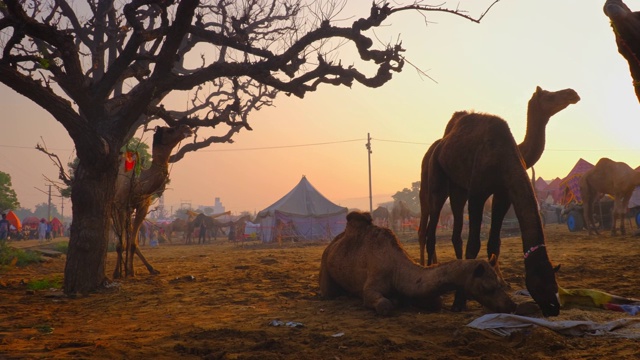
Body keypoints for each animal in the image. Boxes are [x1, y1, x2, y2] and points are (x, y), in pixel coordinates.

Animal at [112, 124, 192, 278]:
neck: (139, 181)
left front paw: (133, 271)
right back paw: (119, 271)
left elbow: (133, 243)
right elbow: (121, 243)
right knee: (119, 238)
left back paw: (142, 269)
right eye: (170, 130)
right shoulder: (120, 205)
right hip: (113, 207)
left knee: (130, 238)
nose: (188, 128)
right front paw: (118, 273)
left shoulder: (143, 207)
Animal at [318, 211, 516, 316]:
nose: (511, 306)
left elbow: (436, 302)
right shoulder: (371, 286)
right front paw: (392, 302)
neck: (397, 271)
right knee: (329, 292)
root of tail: (332, 243)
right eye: (487, 287)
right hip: (325, 264)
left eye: (501, 284)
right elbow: (384, 305)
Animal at [424, 112, 560, 316]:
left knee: (456, 230)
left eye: (555, 284)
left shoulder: (502, 192)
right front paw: (458, 302)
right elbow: (473, 244)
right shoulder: (477, 192)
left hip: (458, 188)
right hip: (437, 176)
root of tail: (441, 143)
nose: (554, 308)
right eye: (542, 286)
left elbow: (494, 241)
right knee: (431, 229)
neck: (503, 157)